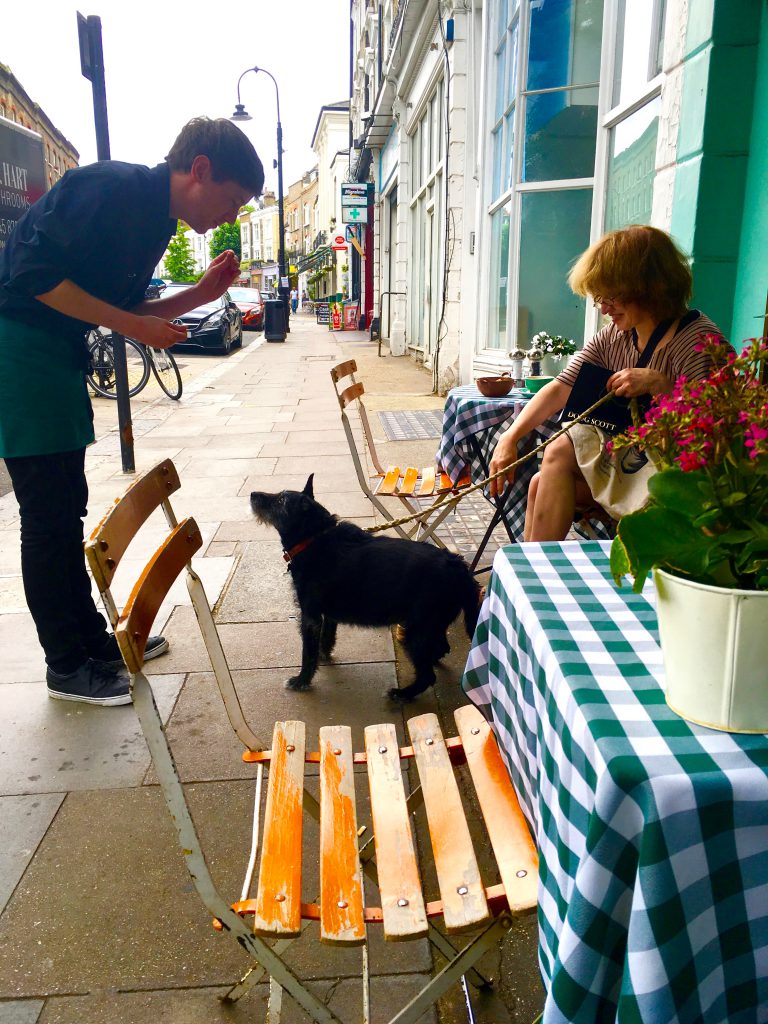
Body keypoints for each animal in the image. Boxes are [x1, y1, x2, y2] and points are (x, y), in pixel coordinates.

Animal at [252, 473, 481, 700]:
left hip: (417, 628)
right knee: (441, 648)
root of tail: (460, 568)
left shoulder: (310, 616)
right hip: (433, 624)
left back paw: (402, 694)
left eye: (281, 500)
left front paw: (302, 680)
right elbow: (326, 637)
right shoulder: (327, 615)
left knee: (427, 675)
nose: (253, 494)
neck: (314, 538)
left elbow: (307, 652)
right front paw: (323, 655)